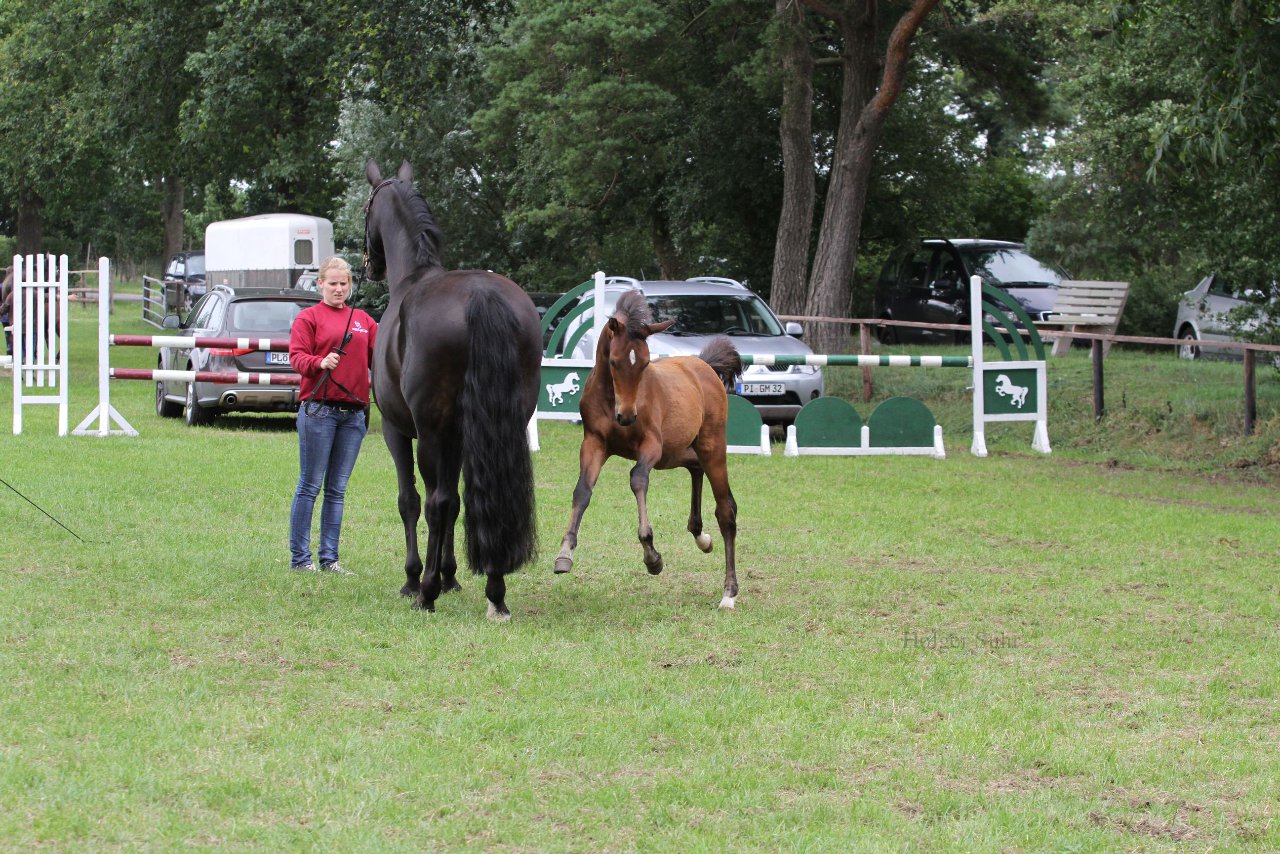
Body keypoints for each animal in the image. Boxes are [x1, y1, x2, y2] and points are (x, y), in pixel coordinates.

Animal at [363, 160, 542, 622]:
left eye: (367, 208)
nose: (369, 264)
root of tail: (482, 294)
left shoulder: (397, 430)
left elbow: (411, 500)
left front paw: (417, 579)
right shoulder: (460, 436)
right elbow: (461, 502)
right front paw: (451, 575)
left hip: (428, 433)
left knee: (435, 501)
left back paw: (425, 592)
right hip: (498, 426)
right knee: (480, 497)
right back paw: (495, 591)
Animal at [555, 291, 747, 606]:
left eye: (645, 364)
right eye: (614, 361)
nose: (626, 416)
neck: (611, 399)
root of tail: (704, 366)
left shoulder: (651, 445)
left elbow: (637, 479)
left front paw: (651, 555)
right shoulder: (594, 442)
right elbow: (582, 491)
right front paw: (564, 553)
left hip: (710, 446)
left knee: (726, 510)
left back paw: (728, 593)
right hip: (675, 452)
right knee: (695, 467)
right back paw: (701, 536)